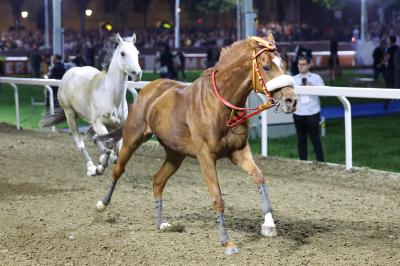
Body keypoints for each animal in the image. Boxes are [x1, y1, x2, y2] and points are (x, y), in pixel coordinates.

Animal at [40, 33, 142, 177]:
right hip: (70, 114)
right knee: (80, 142)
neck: (111, 96)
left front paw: (107, 159)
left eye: (137, 52)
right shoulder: (98, 123)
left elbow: (116, 149)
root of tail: (69, 72)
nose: (137, 73)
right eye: (123, 53)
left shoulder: (118, 126)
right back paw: (91, 167)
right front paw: (100, 167)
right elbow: (109, 144)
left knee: (91, 135)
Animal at [96, 34, 296, 255]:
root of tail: (148, 90)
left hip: (175, 154)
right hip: (132, 139)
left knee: (158, 181)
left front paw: (269, 225)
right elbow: (218, 198)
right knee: (118, 170)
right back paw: (102, 203)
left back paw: (160, 223)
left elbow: (258, 176)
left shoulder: (239, 151)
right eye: (267, 66)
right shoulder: (206, 156)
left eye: (284, 64)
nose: (291, 100)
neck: (221, 105)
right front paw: (227, 242)